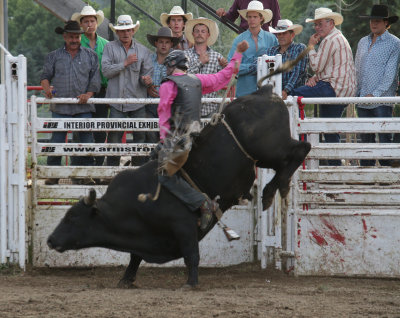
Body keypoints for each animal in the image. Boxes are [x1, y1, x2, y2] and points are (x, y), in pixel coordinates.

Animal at [47, 85, 312, 288]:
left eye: (72, 218)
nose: (50, 240)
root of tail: (264, 92)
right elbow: (134, 258)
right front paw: (126, 279)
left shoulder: (183, 225)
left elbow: (191, 256)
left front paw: (191, 282)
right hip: (267, 156)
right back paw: (273, 191)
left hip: (270, 149)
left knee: (302, 149)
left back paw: (271, 191)